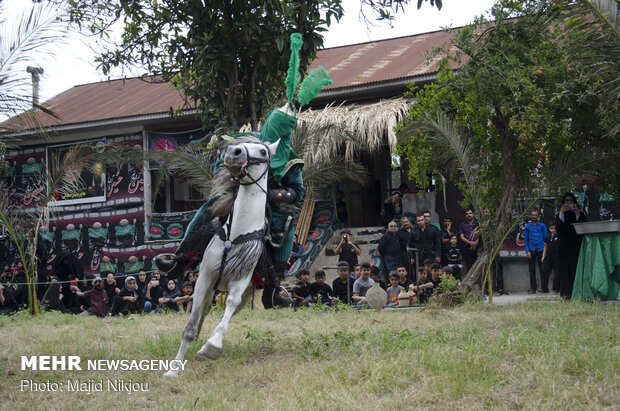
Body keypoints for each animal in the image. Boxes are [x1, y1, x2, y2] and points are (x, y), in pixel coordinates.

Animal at [166, 137, 280, 378]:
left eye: (263, 151)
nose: (234, 153)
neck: (236, 234)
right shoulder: (204, 280)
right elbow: (190, 327)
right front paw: (173, 369)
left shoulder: (241, 282)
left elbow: (228, 307)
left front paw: (212, 346)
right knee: (204, 311)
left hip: (245, 295)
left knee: (223, 312)